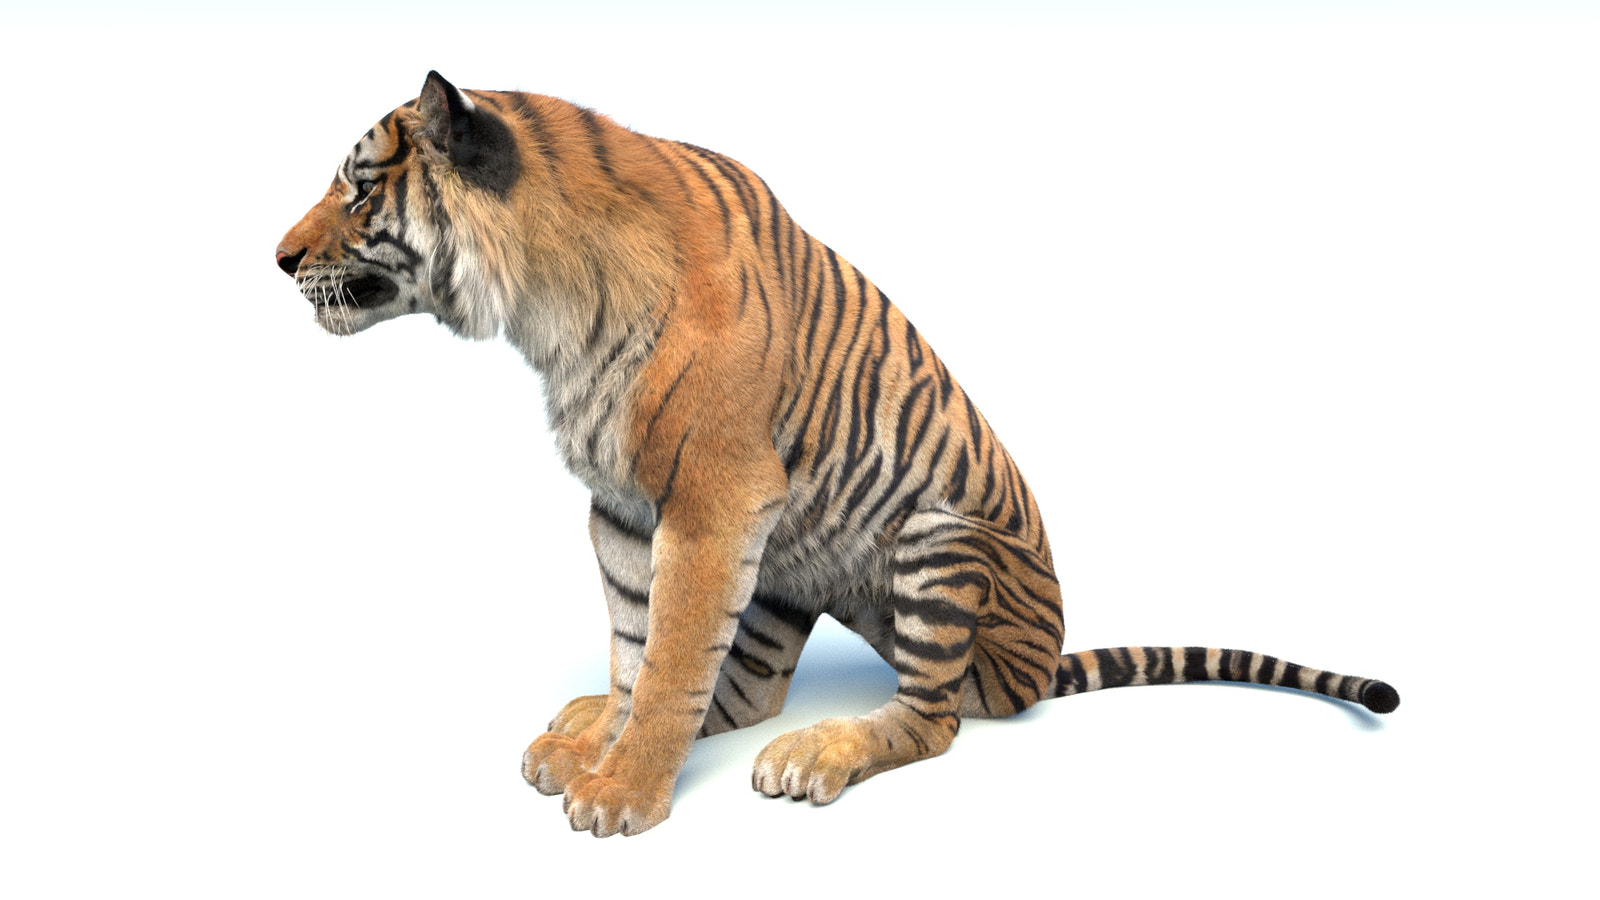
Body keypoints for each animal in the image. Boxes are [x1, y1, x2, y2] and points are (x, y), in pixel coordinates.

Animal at [276, 71, 1399, 838]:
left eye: (357, 189)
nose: (278, 258)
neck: (543, 310)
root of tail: (1041, 666)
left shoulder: (714, 499)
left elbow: (672, 655)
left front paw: (623, 792)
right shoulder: (623, 510)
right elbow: (640, 649)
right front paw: (604, 743)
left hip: (939, 538)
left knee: (933, 718)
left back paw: (817, 754)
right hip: (789, 569)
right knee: (752, 689)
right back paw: (586, 723)